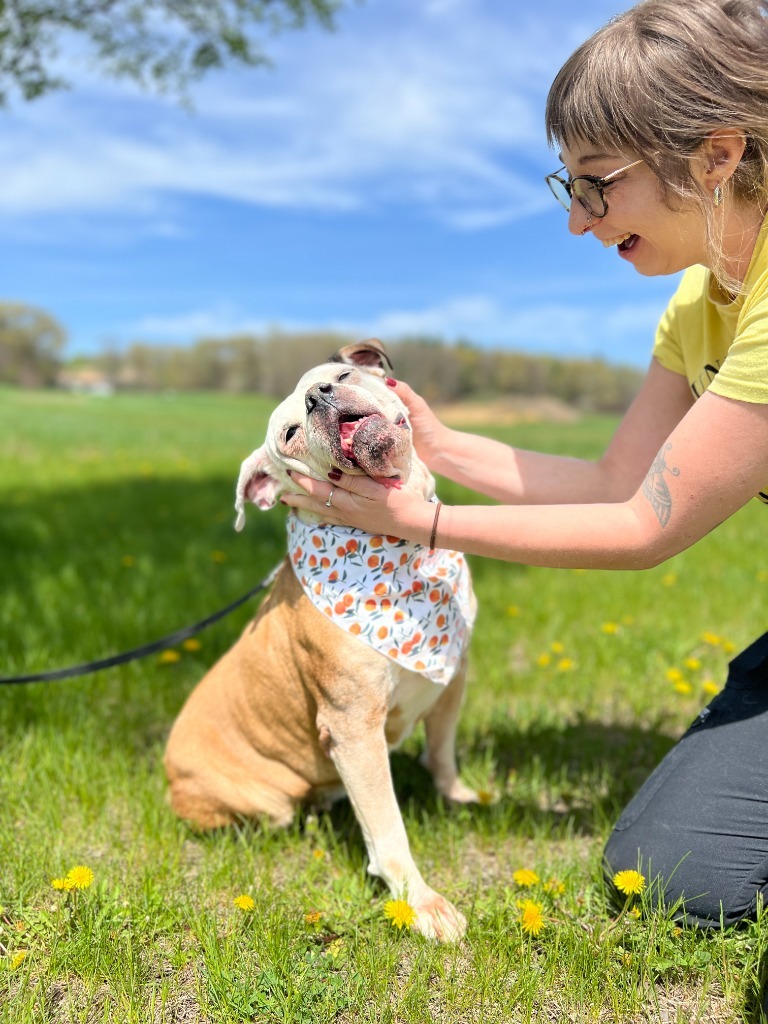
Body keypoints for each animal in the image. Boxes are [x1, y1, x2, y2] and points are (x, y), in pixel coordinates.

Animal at [164, 339, 479, 937]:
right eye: (289, 433)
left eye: (343, 374)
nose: (318, 397)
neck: (401, 548)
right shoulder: (354, 727)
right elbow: (388, 828)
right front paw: (421, 903)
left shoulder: (451, 678)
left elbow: (444, 748)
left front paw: (455, 793)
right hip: (261, 802)